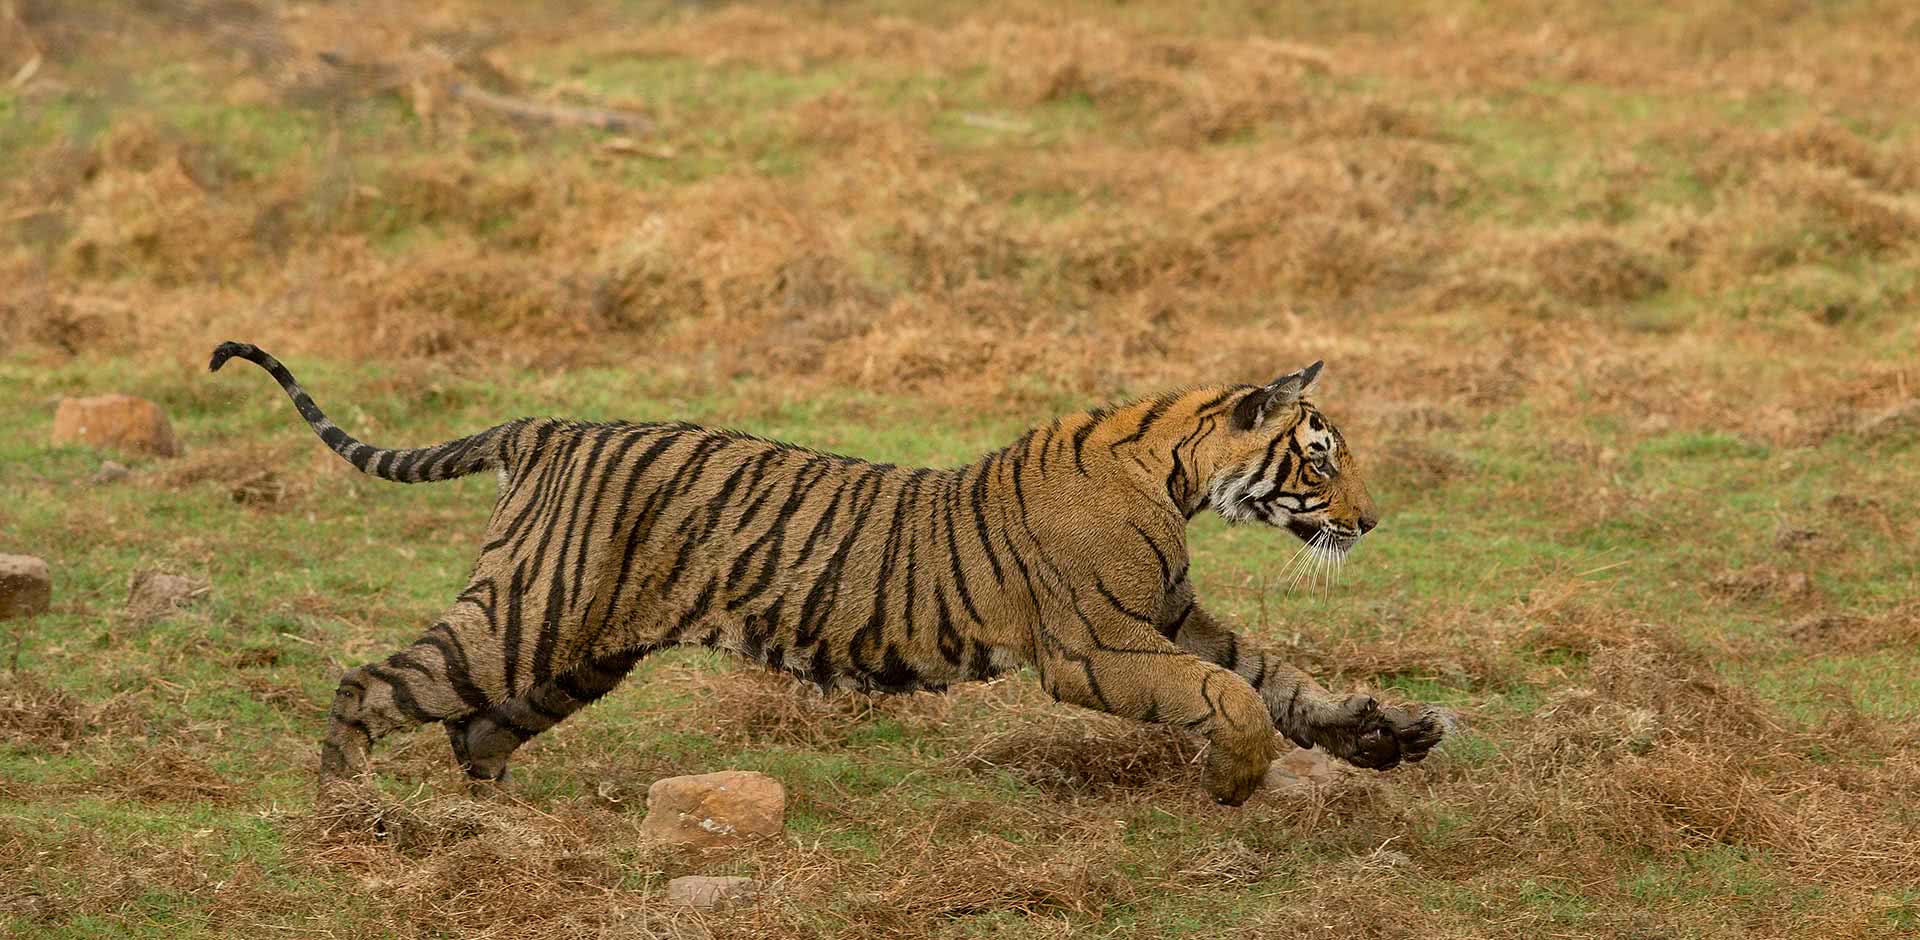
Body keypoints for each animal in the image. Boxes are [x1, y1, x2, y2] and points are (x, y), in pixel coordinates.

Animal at [210, 341, 1443, 805]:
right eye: (1322, 456)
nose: (1374, 520)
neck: (1176, 473)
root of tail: (546, 425)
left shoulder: (1174, 614)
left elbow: (1277, 675)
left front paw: (1390, 733)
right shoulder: (1095, 648)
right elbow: (1230, 693)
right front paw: (1236, 777)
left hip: (584, 647)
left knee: (477, 729)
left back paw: (499, 824)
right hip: (525, 615)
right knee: (374, 685)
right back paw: (353, 816)